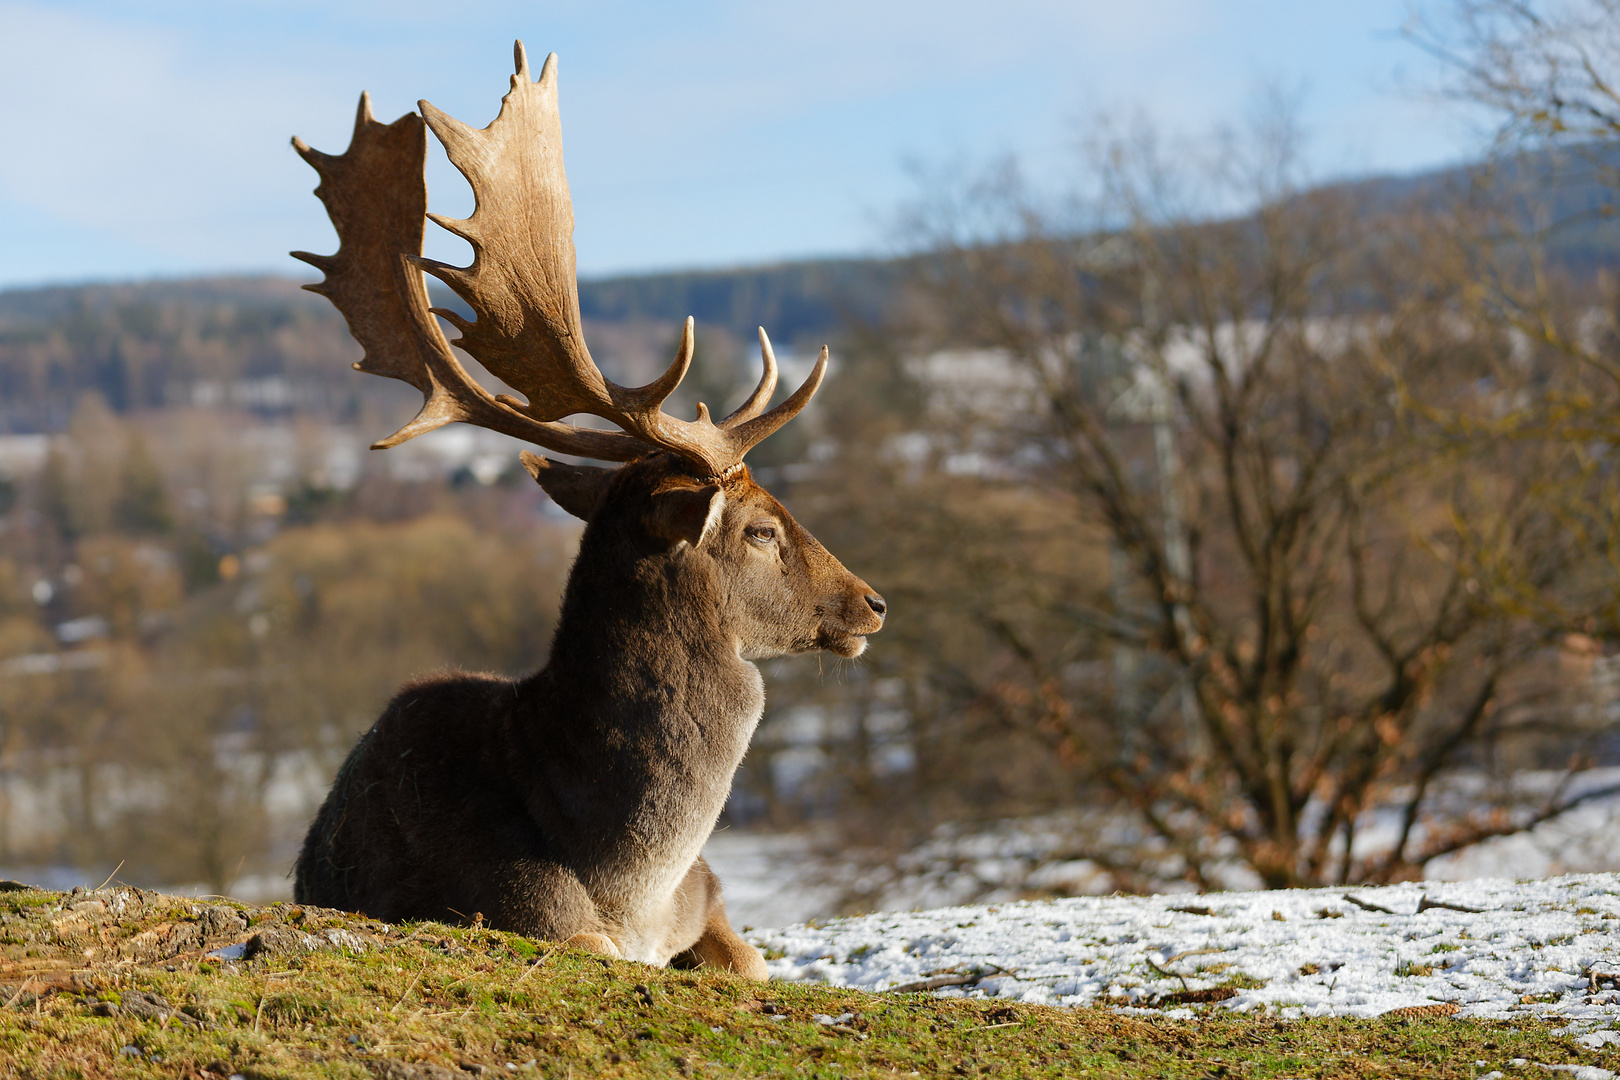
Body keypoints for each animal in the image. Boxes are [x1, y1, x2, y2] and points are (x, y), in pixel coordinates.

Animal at [285, 42, 881, 977]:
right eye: (759, 529)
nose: (874, 602)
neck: (631, 883)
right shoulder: (519, 907)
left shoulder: (712, 895)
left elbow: (749, 962)